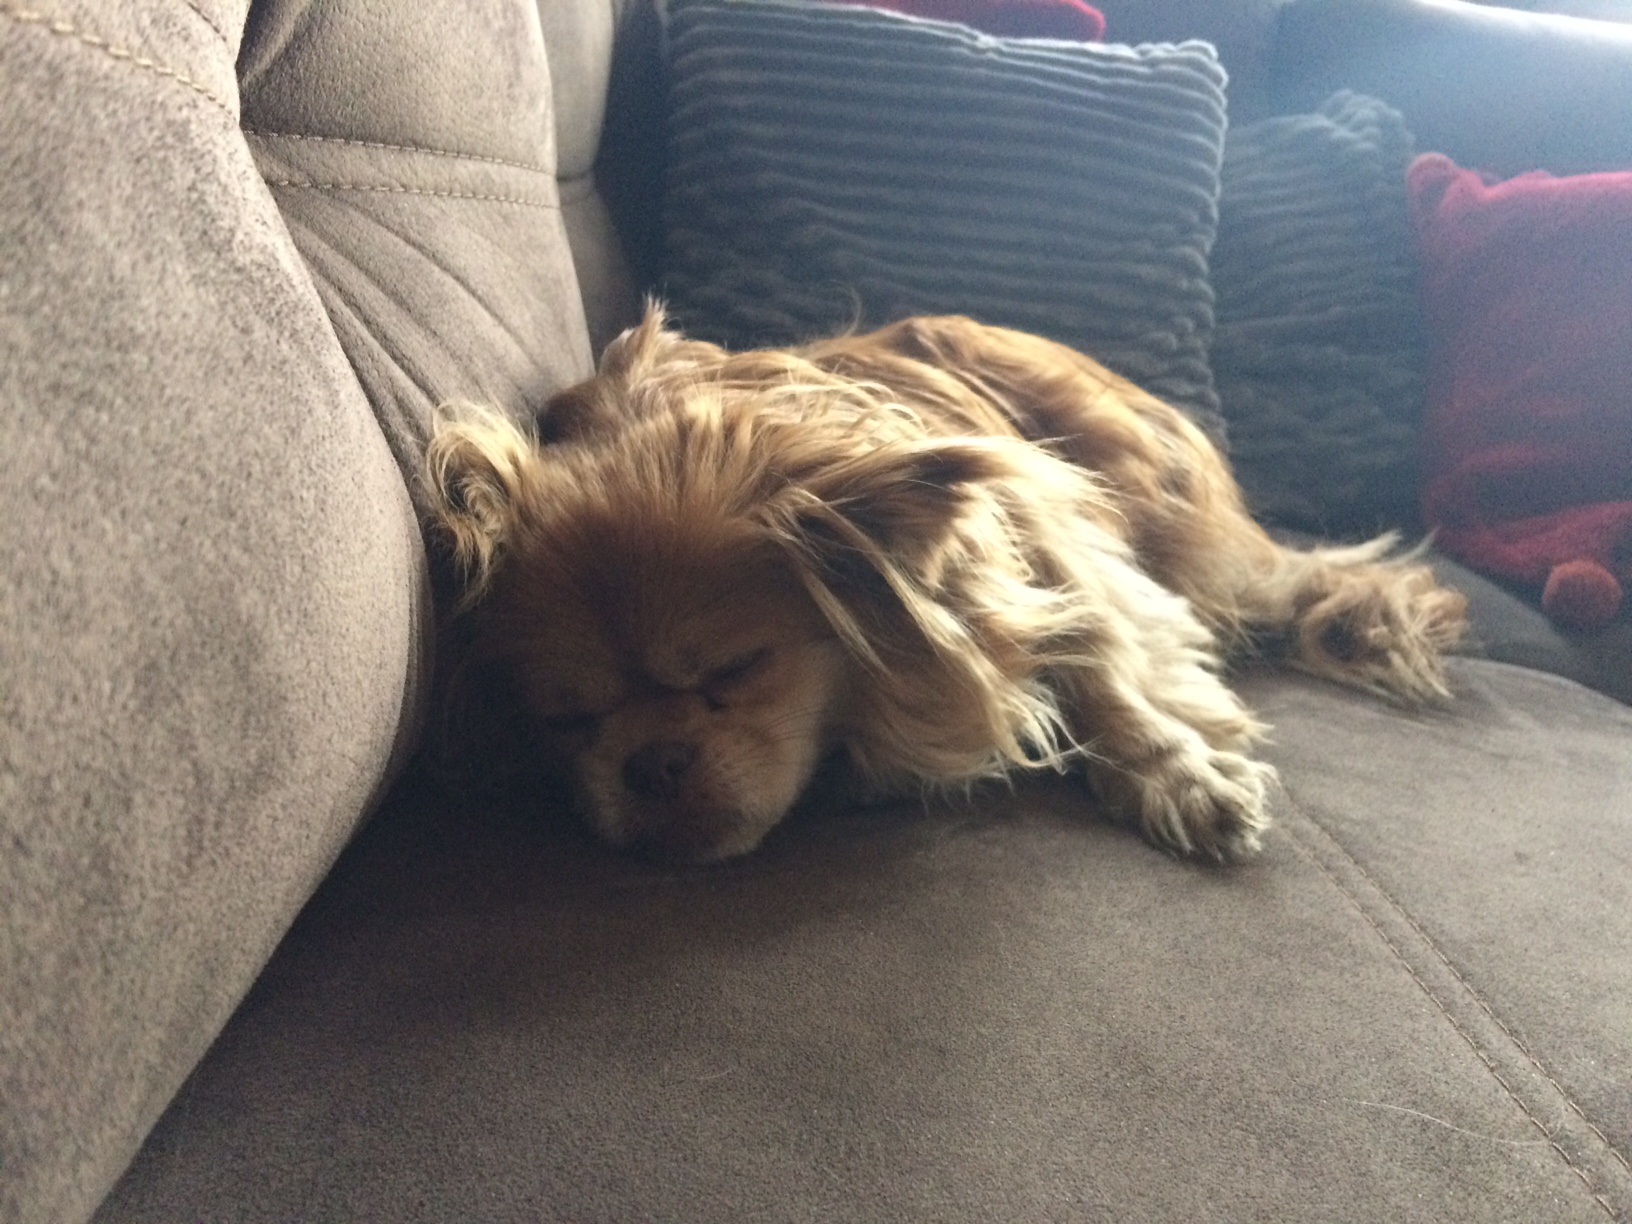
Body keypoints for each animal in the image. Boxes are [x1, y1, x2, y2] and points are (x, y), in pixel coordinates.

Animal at [425, 306, 1467, 863]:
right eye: (566, 720)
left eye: (738, 667)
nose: (652, 766)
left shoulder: (1042, 534)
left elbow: (1100, 660)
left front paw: (1173, 772)